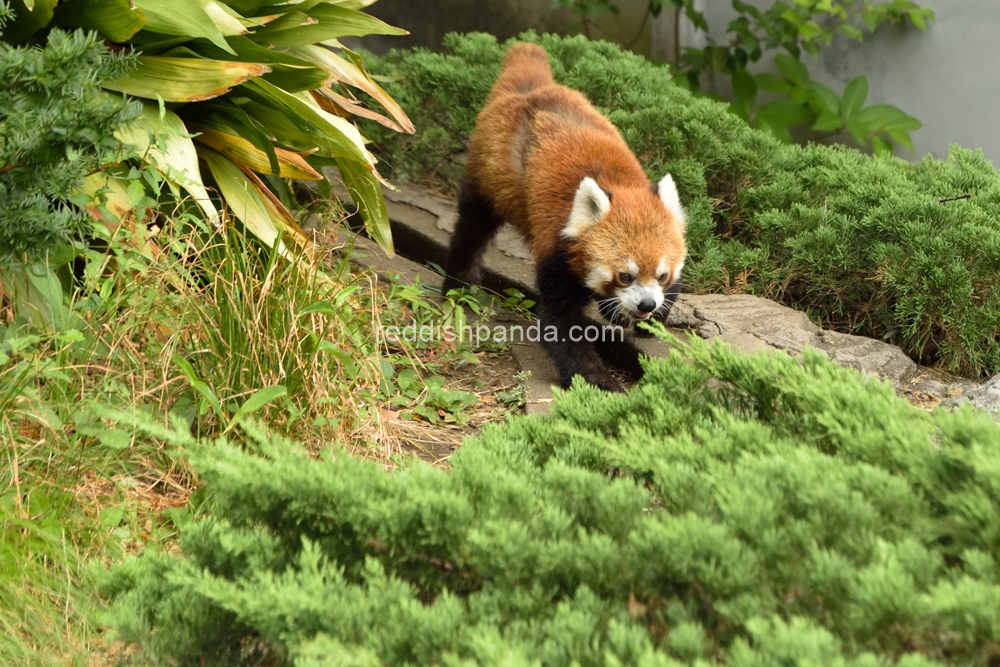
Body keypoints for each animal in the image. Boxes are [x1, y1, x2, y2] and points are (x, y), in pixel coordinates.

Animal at [446, 41, 688, 394]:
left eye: (662, 275)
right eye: (624, 276)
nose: (647, 305)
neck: (620, 186)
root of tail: (532, 90)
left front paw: (643, 316)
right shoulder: (556, 252)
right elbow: (560, 322)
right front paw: (596, 379)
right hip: (487, 176)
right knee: (471, 228)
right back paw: (458, 284)